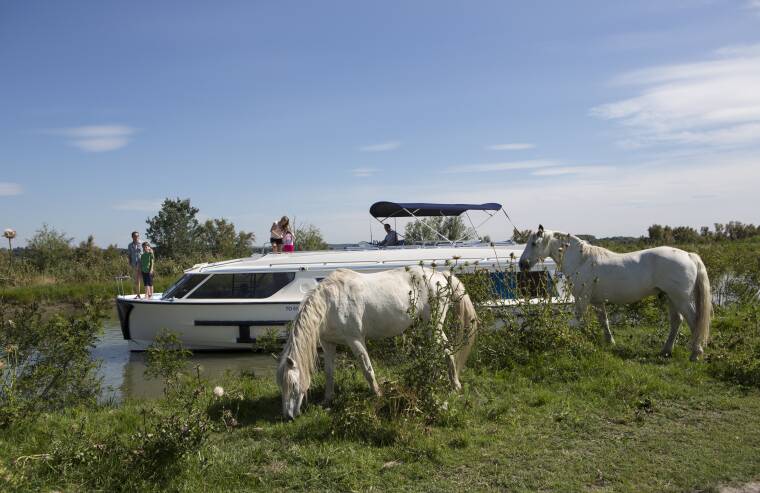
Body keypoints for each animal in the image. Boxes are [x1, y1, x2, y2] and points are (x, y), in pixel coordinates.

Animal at [276, 266, 478, 418]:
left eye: (293, 384)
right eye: (281, 385)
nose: (288, 417)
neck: (330, 303)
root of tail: (440, 275)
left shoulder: (355, 339)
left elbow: (367, 369)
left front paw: (378, 394)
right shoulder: (328, 344)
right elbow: (329, 373)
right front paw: (327, 399)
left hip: (434, 324)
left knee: (447, 350)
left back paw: (455, 385)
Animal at [520, 225, 708, 360]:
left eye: (534, 244)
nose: (522, 264)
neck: (582, 260)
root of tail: (689, 255)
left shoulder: (582, 299)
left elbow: (575, 322)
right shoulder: (597, 302)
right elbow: (604, 322)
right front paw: (610, 342)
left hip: (681, 299)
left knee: (694, 322)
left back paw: (695, 354)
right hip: (671, 298)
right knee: (677, 322)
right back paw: (666, 351)